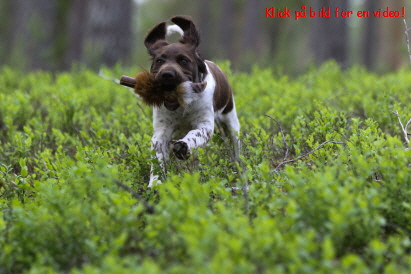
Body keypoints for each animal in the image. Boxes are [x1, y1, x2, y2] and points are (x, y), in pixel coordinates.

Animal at [143, 16, 241, 187]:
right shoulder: (161, 132)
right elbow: (158, 158)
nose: (167, 74)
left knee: (235, 144)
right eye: (160, 61)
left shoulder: (205, 125)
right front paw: (155, 183)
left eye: (184, 61)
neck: (181, 105)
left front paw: (183, 147)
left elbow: (195, 135)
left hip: (231, 121)